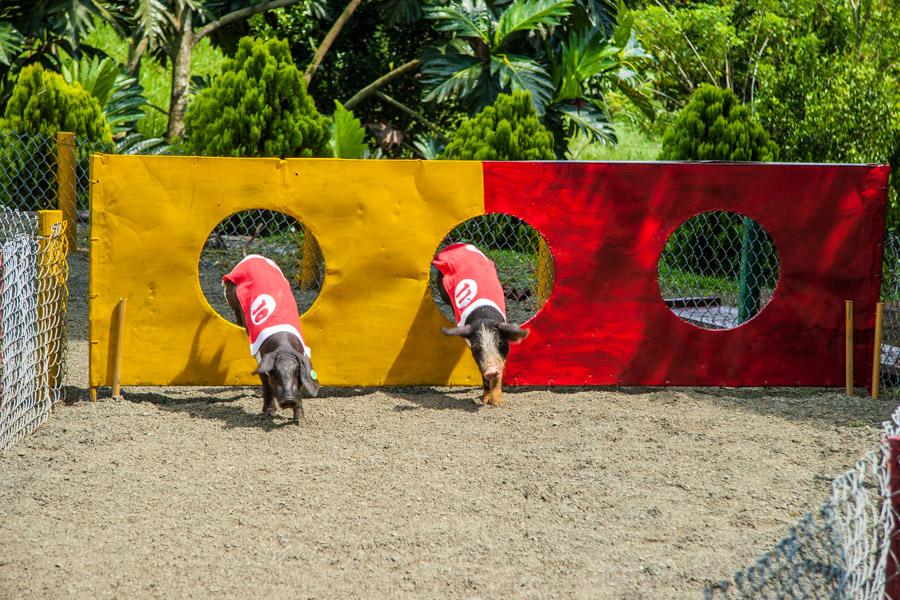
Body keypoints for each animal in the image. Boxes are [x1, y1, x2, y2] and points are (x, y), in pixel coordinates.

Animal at [221, 254, 320, 422]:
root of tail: (251, 256)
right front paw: (268, 414)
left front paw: (300, 420)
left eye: (296, 372)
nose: (288, 400)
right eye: (274, 373)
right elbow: (266, 385)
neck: (283, 347)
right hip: (230, 290)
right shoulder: (260, 358)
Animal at [430, 241, 528, 406]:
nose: (491, 369)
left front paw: (496, 402)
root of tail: (459, 244)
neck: (484, 316)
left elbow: (500, 373)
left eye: (501, 343)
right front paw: (485, 400)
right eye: (476, 347)